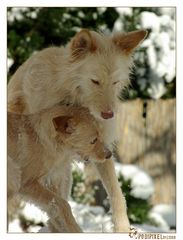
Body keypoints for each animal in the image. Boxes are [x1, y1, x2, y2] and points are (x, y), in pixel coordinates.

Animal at [7, 29, 147, 232]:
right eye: (95, 81)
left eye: (115, 82)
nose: (108, 114)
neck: (75, 98)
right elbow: (56, 202)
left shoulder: (99, 149)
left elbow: (116, 193)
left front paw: (122, 228)